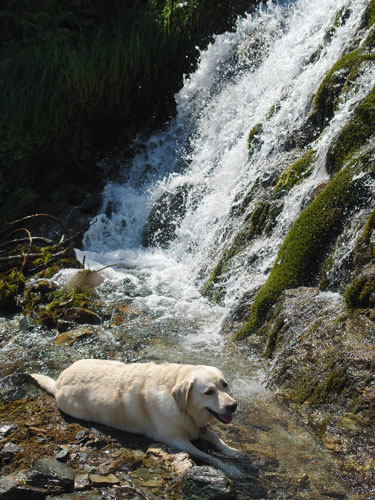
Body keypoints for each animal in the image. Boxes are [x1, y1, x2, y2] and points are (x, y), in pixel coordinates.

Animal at [30, 360, 242, 476]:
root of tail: (59, 381)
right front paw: (231, 469)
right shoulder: (176, 440)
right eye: (208, 392)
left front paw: (232, 450)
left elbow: (215, 438)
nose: (233, 405)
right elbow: (208, 457)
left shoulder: (197, 427)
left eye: (225, 384)